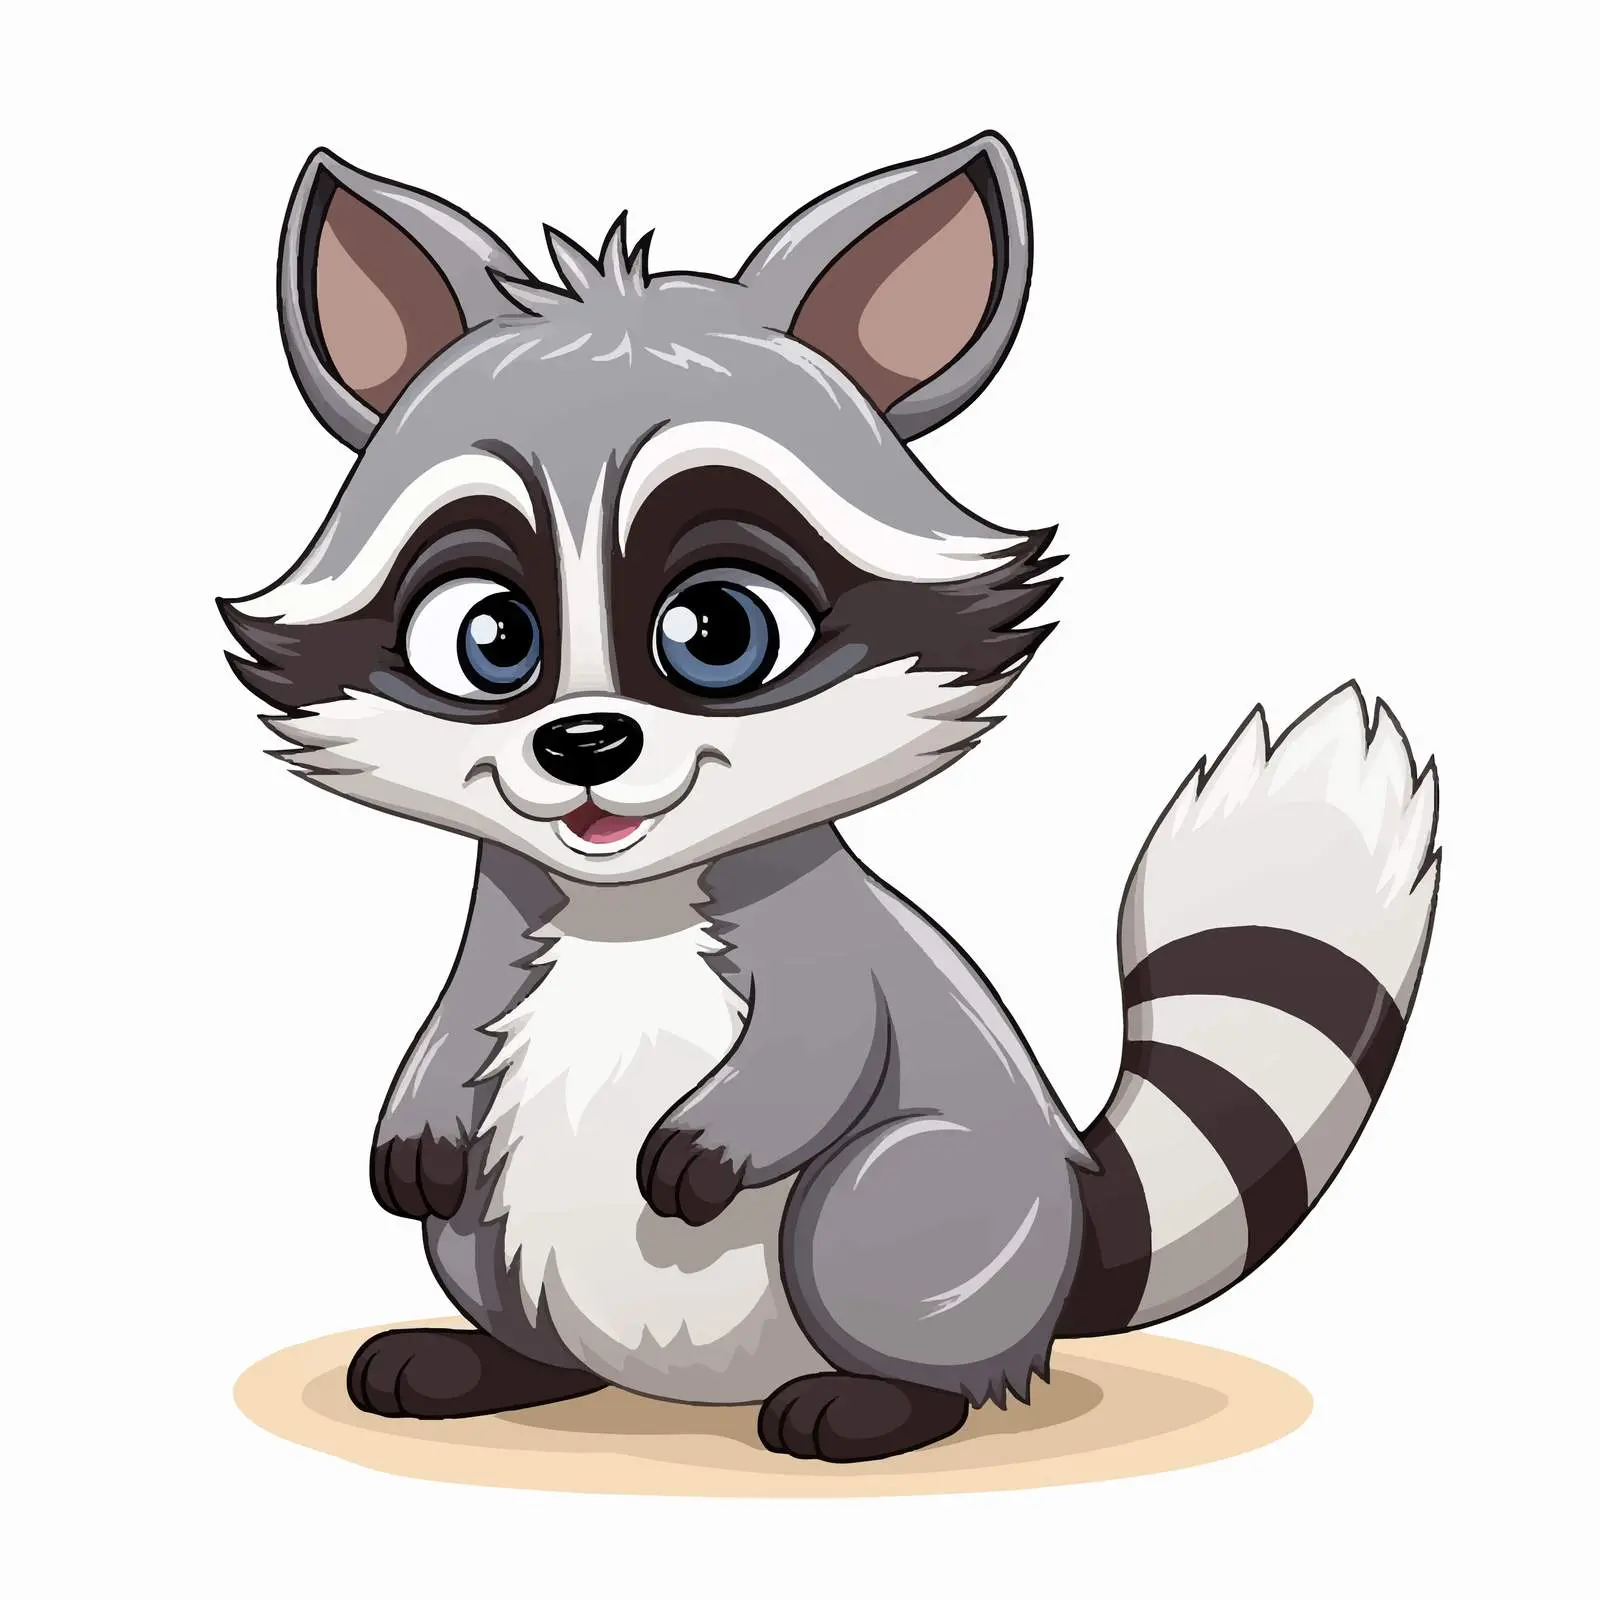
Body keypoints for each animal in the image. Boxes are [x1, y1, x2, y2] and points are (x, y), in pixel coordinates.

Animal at [222, 134, 1441, 1463]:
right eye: (492, 638)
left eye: (717, 630)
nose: (585, 742)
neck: (624, 905)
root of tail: (1069, 1230)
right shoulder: (507, 929)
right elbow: (456, 1024)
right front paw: (415, 1125)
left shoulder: (822, 942)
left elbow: (832, 1047)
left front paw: (710, 1143)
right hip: (500, 1235)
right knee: (486, 1235)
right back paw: (490, 1361)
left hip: (944, 1216)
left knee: (882, 1202)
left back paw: (882, 1398)